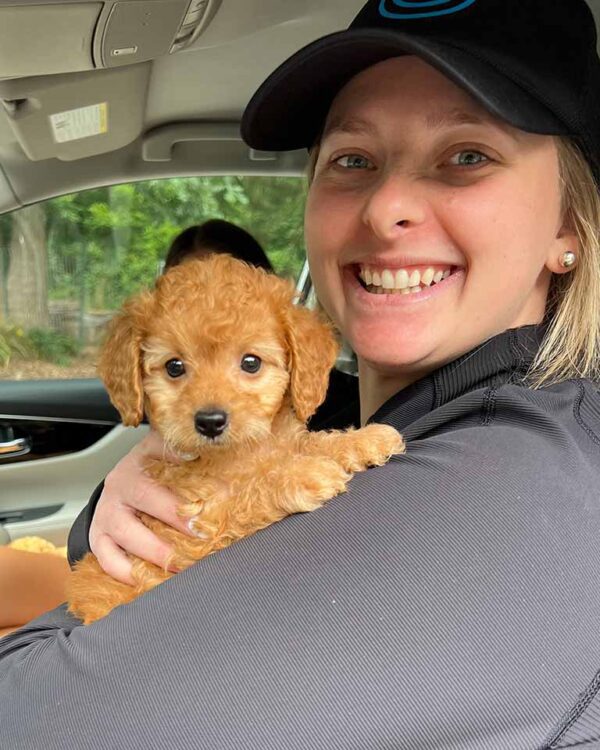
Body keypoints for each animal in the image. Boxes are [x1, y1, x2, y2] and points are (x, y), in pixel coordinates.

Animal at [68, 256, 406, 624]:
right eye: (174, 367)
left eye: (251, 362)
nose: (210, 422)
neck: (238, 452)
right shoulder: (204, 522)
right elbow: (247, 493)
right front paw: (304, 474)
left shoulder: (281, 442)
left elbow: (307, 443)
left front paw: (368, 438)